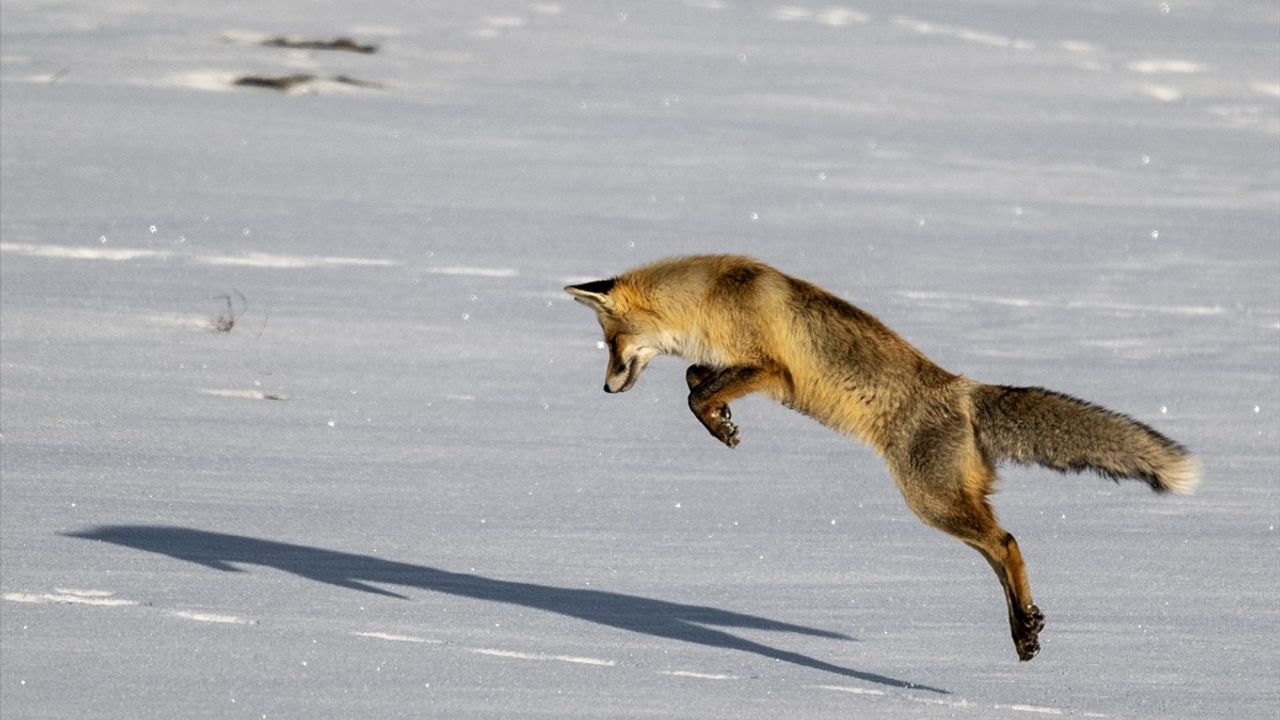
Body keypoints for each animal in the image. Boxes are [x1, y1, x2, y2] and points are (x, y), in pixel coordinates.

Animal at [565, 253, 1203, 661]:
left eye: (611, 343)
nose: (605, 389)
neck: (710, 297)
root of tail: (963, 391)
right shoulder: (736, 365)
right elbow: (697, 378)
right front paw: (723, 422)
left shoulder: (772, 369)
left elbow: (695, 389)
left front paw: (718, 424)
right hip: (946, 500)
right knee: (999, 547)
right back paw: (1025, 630)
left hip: (929, 500)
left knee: (1007, 543)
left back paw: (1024, 625)